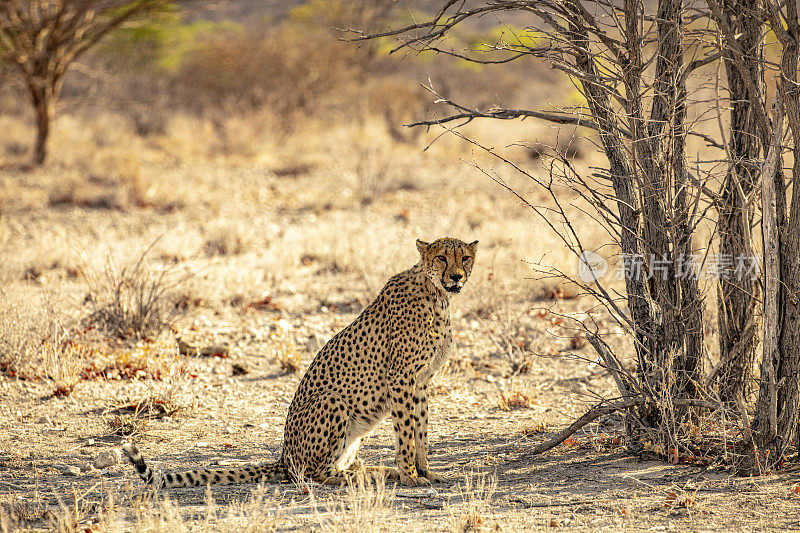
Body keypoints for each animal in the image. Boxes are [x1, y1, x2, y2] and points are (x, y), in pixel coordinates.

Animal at [122, 237, 478, 486]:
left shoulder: (421, 381)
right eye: (441, 257)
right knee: (312, 474)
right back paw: (365, 476)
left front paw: (425, 471)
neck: (437, 295)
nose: (457, 277)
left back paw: (375, 469)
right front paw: (410, 476)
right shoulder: (401, 378)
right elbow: (406, 431)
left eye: (465, 257)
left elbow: (421, 430)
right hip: (333, 402)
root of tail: (283, 457)